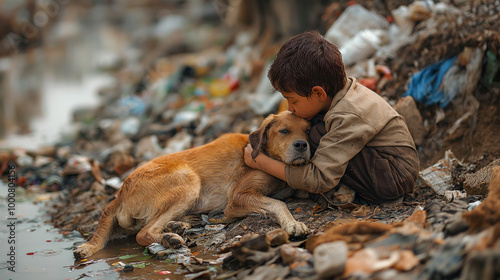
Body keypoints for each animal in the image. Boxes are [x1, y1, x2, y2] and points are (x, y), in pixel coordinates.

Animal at [73, 110, 308, 260]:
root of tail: (120, 193)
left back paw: (178, 225)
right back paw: (169, 238)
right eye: (284, 131)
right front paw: (292, 223)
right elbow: (277, 203)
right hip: (188, 181)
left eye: (307, 130)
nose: (302, 145)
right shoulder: (238, 198)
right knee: (144, 233)